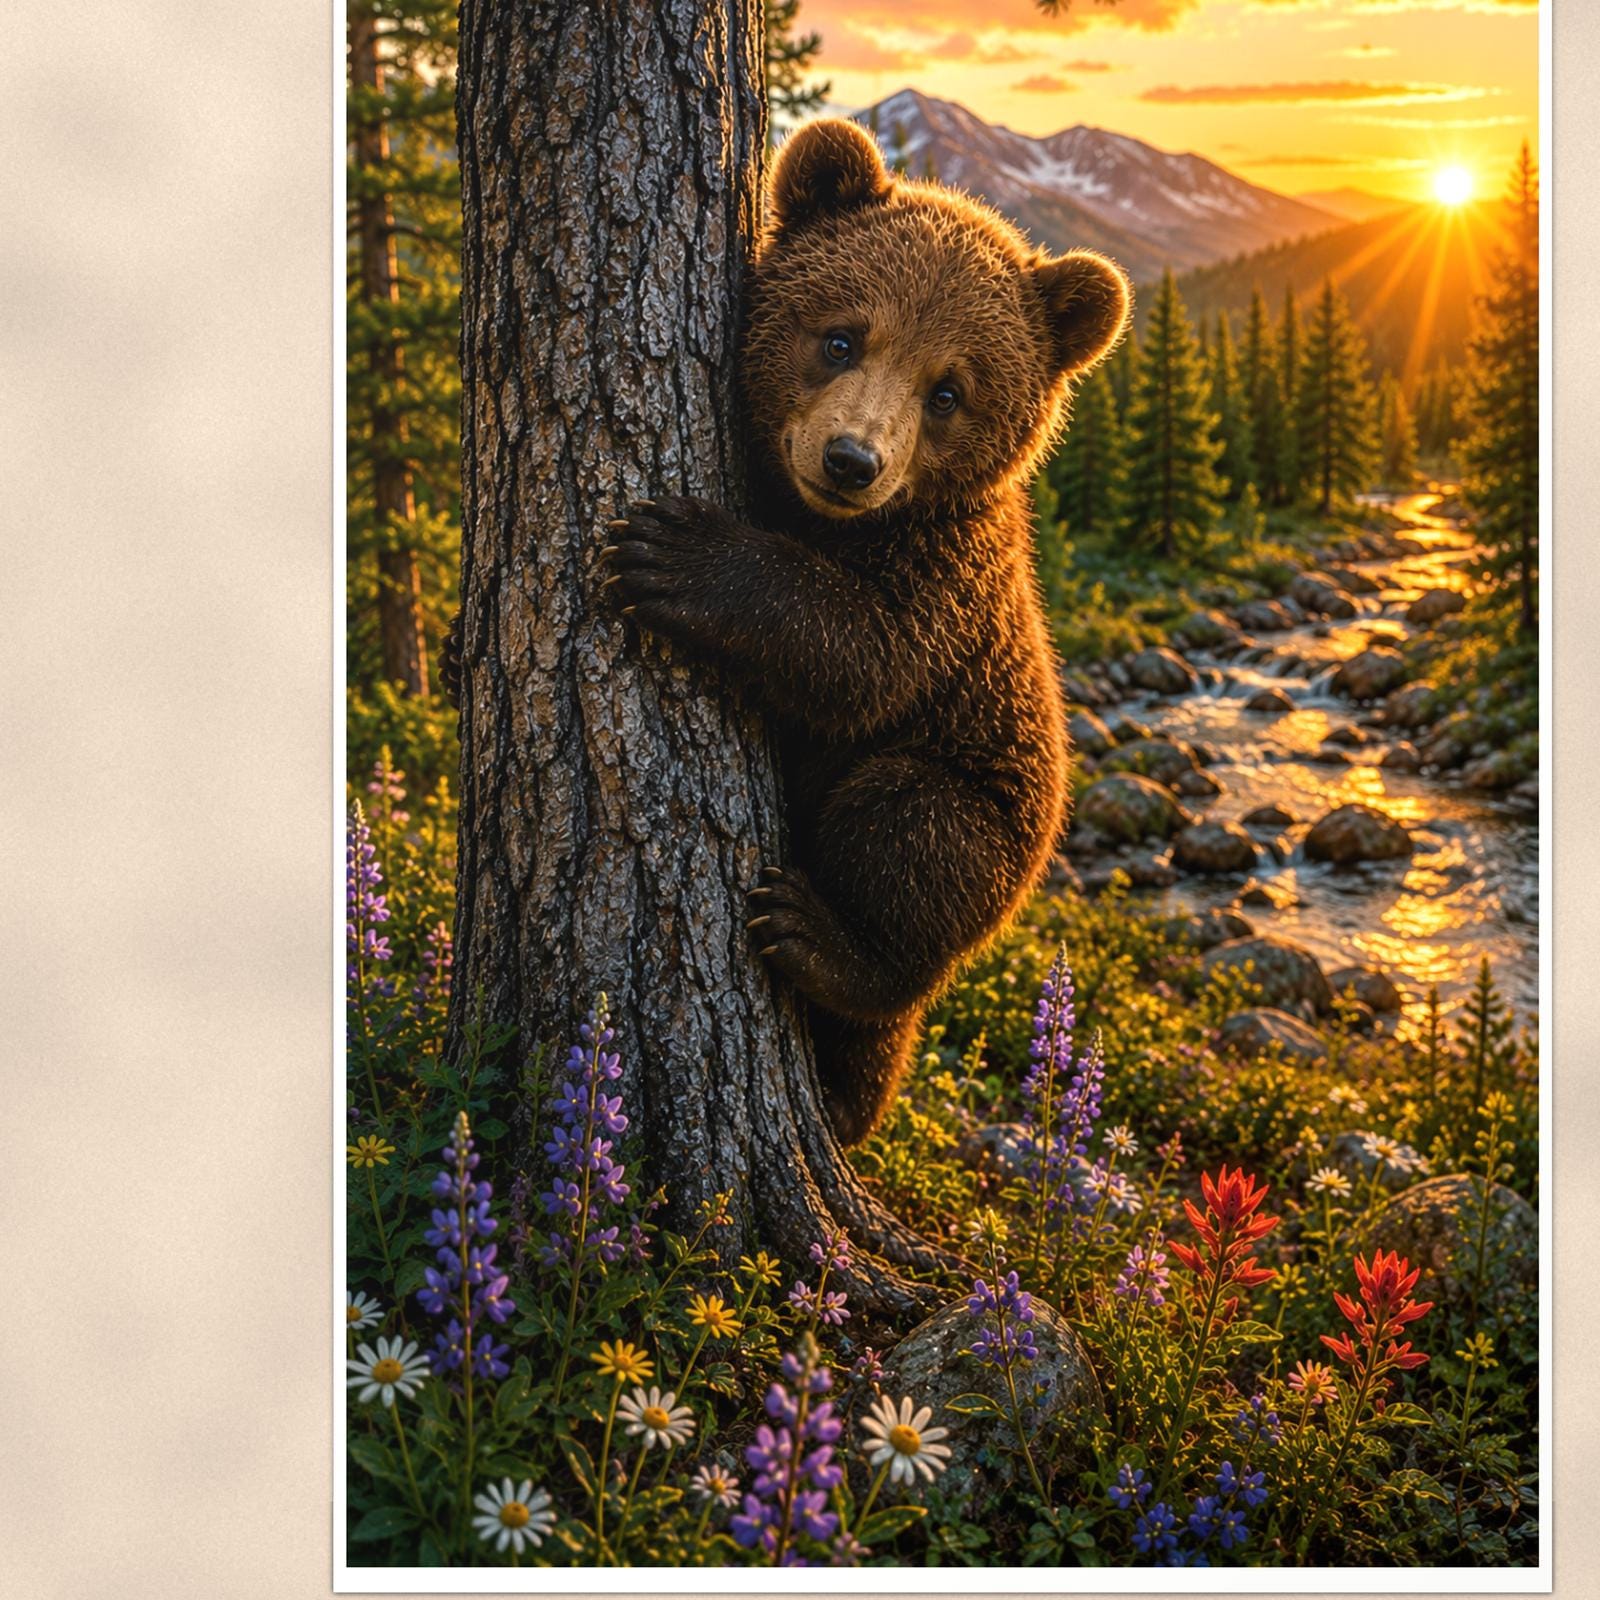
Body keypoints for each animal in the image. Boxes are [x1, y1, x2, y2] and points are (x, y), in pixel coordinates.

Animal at [603, 117, 1132, 1147]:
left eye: (949, 391)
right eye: (841, 336)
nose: (851, 460)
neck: (828, 523)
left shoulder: (949, 577)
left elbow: (866, 657)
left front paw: (673, 551)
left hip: (989, 802)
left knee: (907, 835)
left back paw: (825, 949)